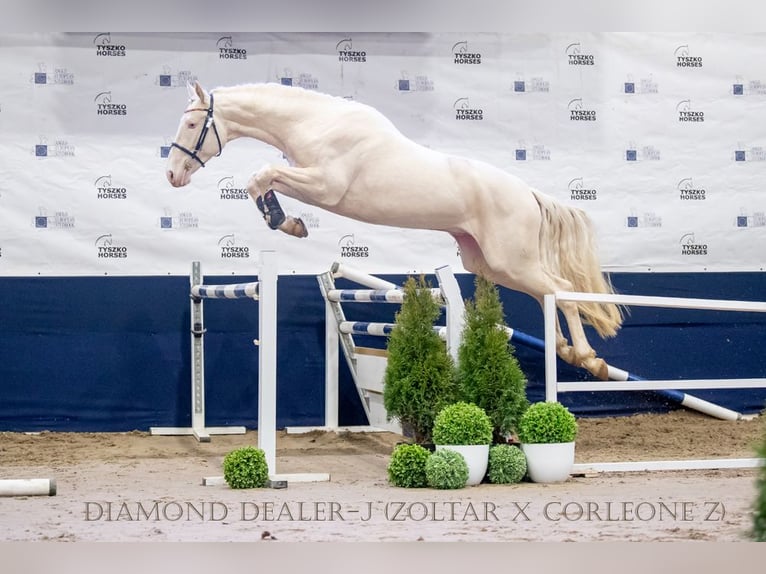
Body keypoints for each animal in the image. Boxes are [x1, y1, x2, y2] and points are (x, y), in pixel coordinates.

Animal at [168, 80, 624, 378]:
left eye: (190, 126)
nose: (173, 175)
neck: (318, 122)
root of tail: (527, 193)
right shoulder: (310, 181)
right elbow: (260, 181)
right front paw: (287, 222)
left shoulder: (325, 186)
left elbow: (262, 175)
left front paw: (287, 224)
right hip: (491, 263)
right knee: (548, 293)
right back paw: (566, 351)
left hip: (511, 259)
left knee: (560, 289)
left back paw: (589, 358)